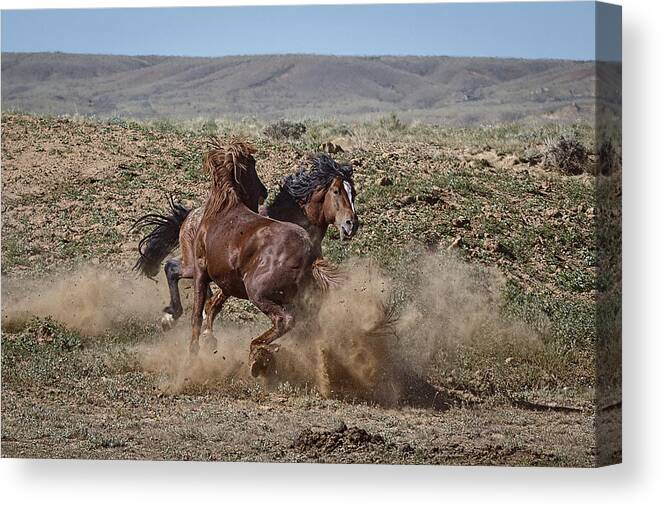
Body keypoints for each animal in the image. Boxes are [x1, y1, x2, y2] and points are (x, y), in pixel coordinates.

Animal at [133, 153, 358, 336]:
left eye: (353, 193)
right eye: (336, 191)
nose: (352, 224)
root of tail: (190, 215)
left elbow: (214, 303)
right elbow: (215, 304)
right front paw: (207, 335)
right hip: (193, 264)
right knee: (171, 268)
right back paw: (170, 317)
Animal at [187, 139, 338, 378]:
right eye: (252, 164)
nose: (264, 192)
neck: (221, 210)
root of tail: (310, 254)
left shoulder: (201, 271)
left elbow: (196, 314)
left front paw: (193, 354)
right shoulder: (228, 282)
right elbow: (212, 307)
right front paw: (210, 340)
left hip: (258, 292)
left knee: (284, 321)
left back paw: (258, 356)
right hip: (302, 302)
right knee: (310, 332)